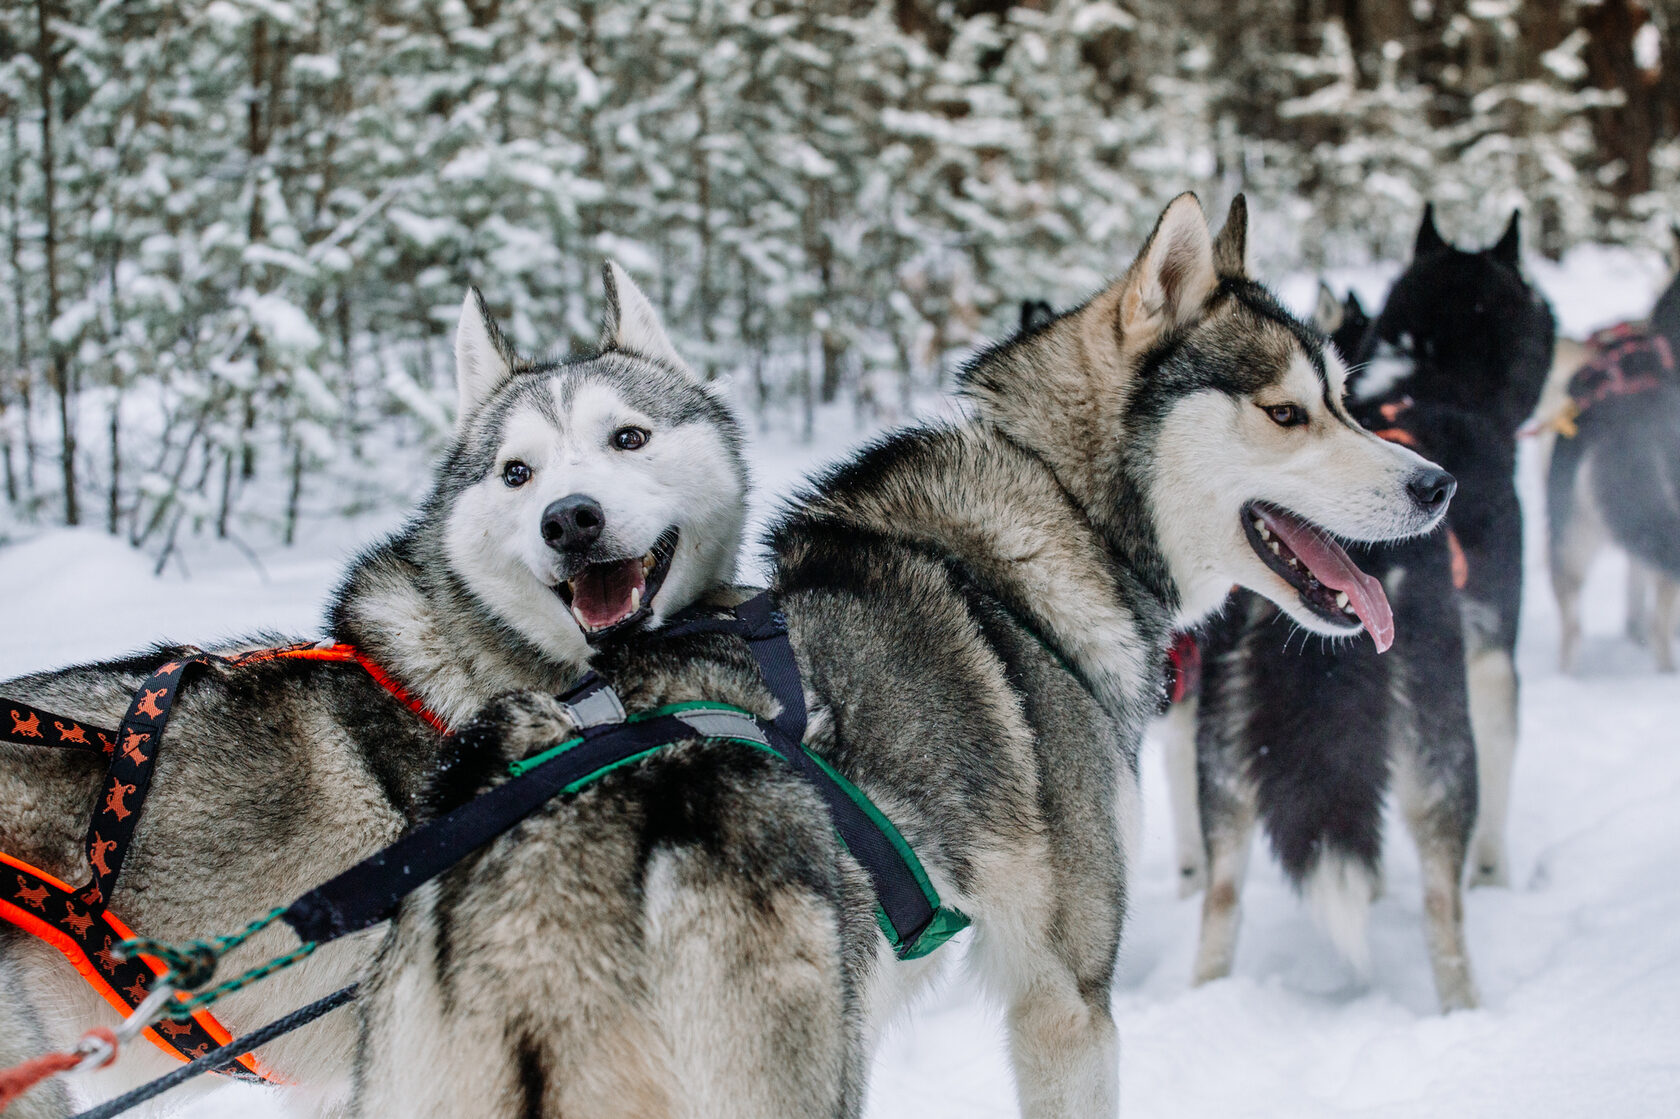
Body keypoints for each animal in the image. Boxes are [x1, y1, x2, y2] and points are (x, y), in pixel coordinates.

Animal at [351, 195, 1458, 1108]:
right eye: (1286, 413)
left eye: (1347, 398)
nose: (1437, 484)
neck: (1060, 506)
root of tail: (538, 894)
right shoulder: (1067, 999)